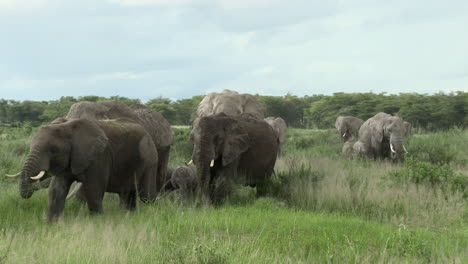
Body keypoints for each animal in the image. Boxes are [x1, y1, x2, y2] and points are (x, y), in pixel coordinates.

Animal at [16, 118, 159, 222]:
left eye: (53, 150)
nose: (27, 194)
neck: (68, 127)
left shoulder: (99, 157)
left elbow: (93, 190)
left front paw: (96, 222)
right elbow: (56, 190)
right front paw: (52, 224)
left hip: (149, 159)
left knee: (146, 195)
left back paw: (151, 214)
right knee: (126, 194)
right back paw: (128, 215)